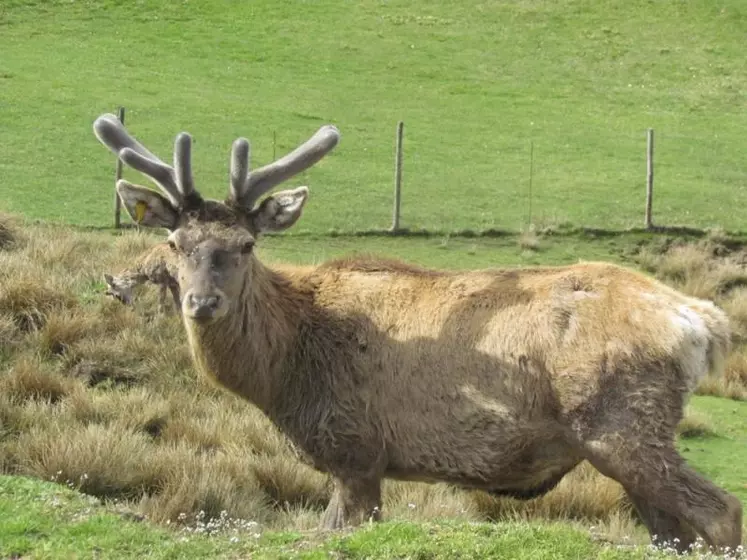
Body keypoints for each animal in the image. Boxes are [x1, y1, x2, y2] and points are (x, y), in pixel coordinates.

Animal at [92, 114, 744, 556]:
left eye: (247, 244)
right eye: (175, 242)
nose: (203, 303)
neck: (283, 376)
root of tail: (701, 321)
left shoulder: (354, 446)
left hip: (622, 422)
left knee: (722, 512)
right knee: (673, 533)